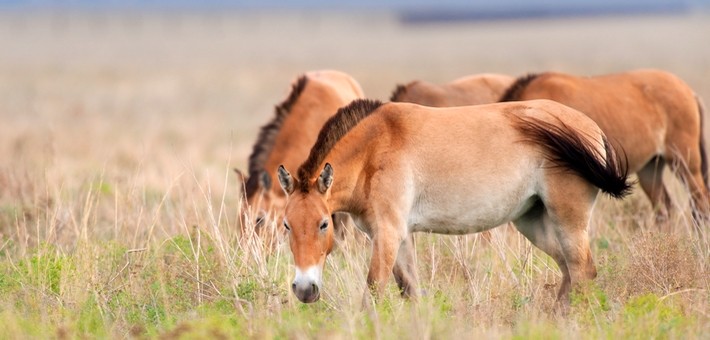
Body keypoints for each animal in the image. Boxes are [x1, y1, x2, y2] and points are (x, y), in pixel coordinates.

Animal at [276, 97, 632, 302]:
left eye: (323, 224)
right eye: (287, 226)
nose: (305, 289)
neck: (374, 148)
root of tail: (591, 128)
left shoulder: (387, 235)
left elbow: (373, 291)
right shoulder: (398, 237)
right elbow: (410, 291)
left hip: (567, 220)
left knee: (582, 272)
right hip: (534, 223)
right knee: (570, 272)